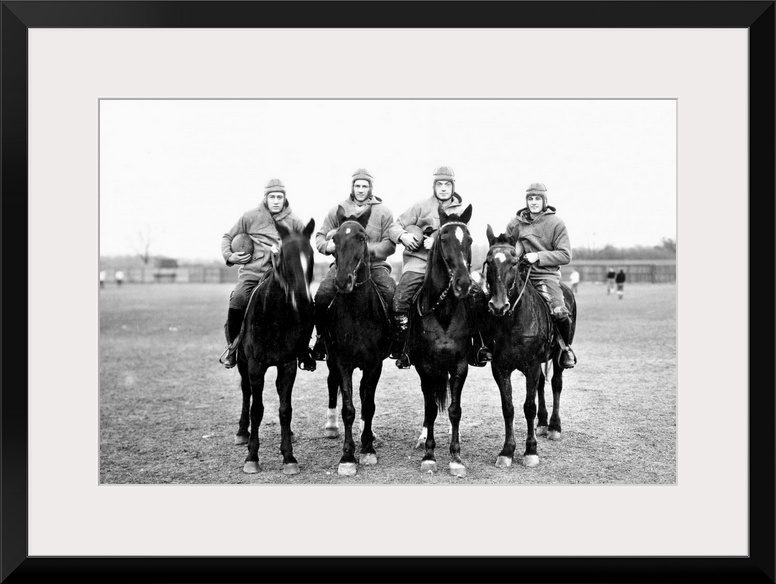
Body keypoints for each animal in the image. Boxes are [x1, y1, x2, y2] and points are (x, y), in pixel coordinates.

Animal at [233, 218, 316, 474]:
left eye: (311, 256)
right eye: (284, 257)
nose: (303, 300)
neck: (275, 316)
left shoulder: (287, 364)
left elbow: (285, 410)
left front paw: (289, 456)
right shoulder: (255, 366)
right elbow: (257, 409)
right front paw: (252, 457)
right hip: (242, 364)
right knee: (246, 393)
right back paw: (242, 432)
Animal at [322, 205, 392, 474]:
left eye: (362, 238)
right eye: (335, 239)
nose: (343, 281)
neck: (357, 313)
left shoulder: (374, 363)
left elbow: (368, 404)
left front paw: (368, 449)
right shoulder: (342, 361)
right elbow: (348, 408)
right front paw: (347, 457)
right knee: (331, 384)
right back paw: (331, 427)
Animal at [484, 226, 576, 468]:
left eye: (514, 262)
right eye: (489, 261)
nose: (498, 305)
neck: (513, 320)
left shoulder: (532, 365)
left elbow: (528, 406)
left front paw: (530, 450)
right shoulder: (500, 368)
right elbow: (508, 407)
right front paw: (507, 451)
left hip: (557, 357)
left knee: (556, 384)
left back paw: (553, 426)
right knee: (542, 385)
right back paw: (543, 424)